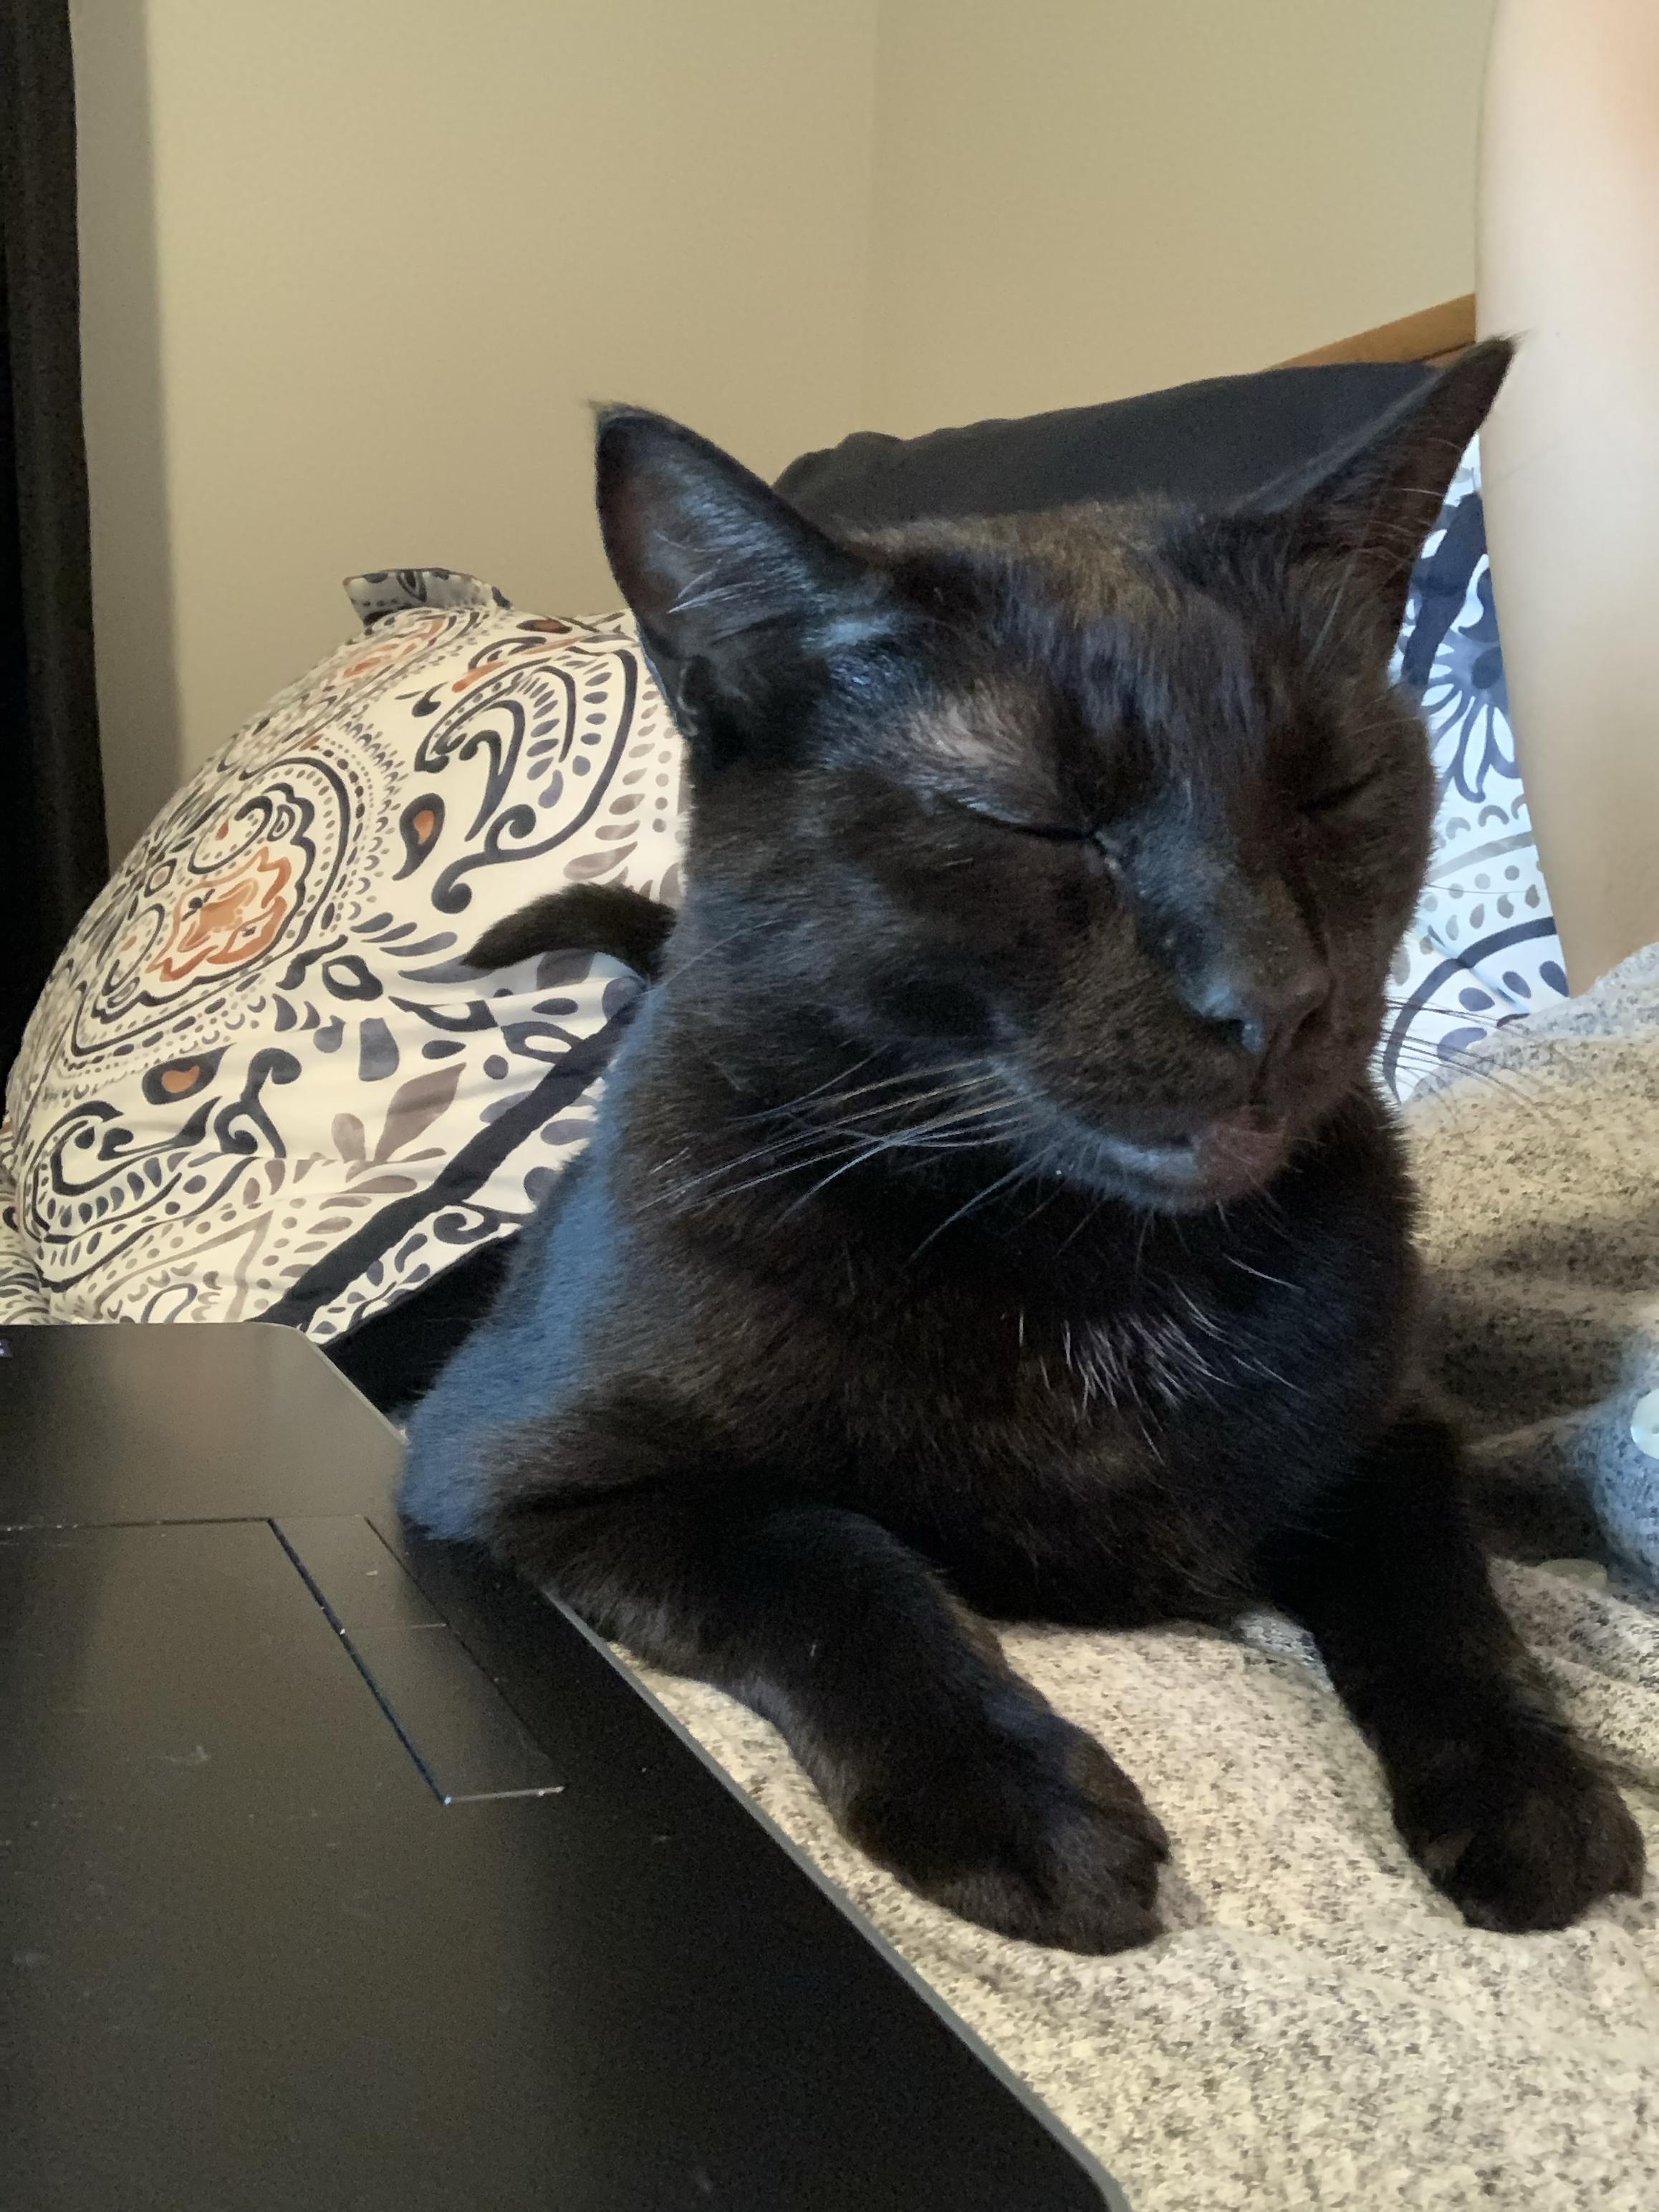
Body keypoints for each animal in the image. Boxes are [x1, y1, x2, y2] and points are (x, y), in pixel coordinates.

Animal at [402, 341, 1643, 1953]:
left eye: (1333, 789)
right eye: (1035, 819)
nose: (1273, 997)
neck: (1100, 1274)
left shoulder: (1391, 1428)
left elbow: (1445, 1585)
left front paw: (1527, 1774)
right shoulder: (515, 1471)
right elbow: (822, 1548)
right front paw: (1015, 1792)